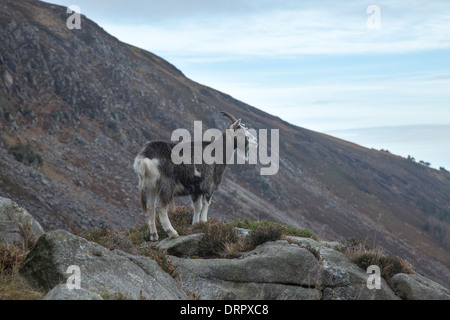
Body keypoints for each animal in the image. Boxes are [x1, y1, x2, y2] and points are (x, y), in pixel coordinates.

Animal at [133, 111, 256, 239]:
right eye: (242, 131)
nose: (256, 141)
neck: (217, 151)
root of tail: (145, 158)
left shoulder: (196, 190)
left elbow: (197, 207)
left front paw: (195, 224)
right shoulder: (208, 185)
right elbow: (206, 205)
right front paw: (204, 222)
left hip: (149, 186)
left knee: (150, 207)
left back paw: (154, 236)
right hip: (167, 185)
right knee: (161, 207)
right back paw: (172, 232)